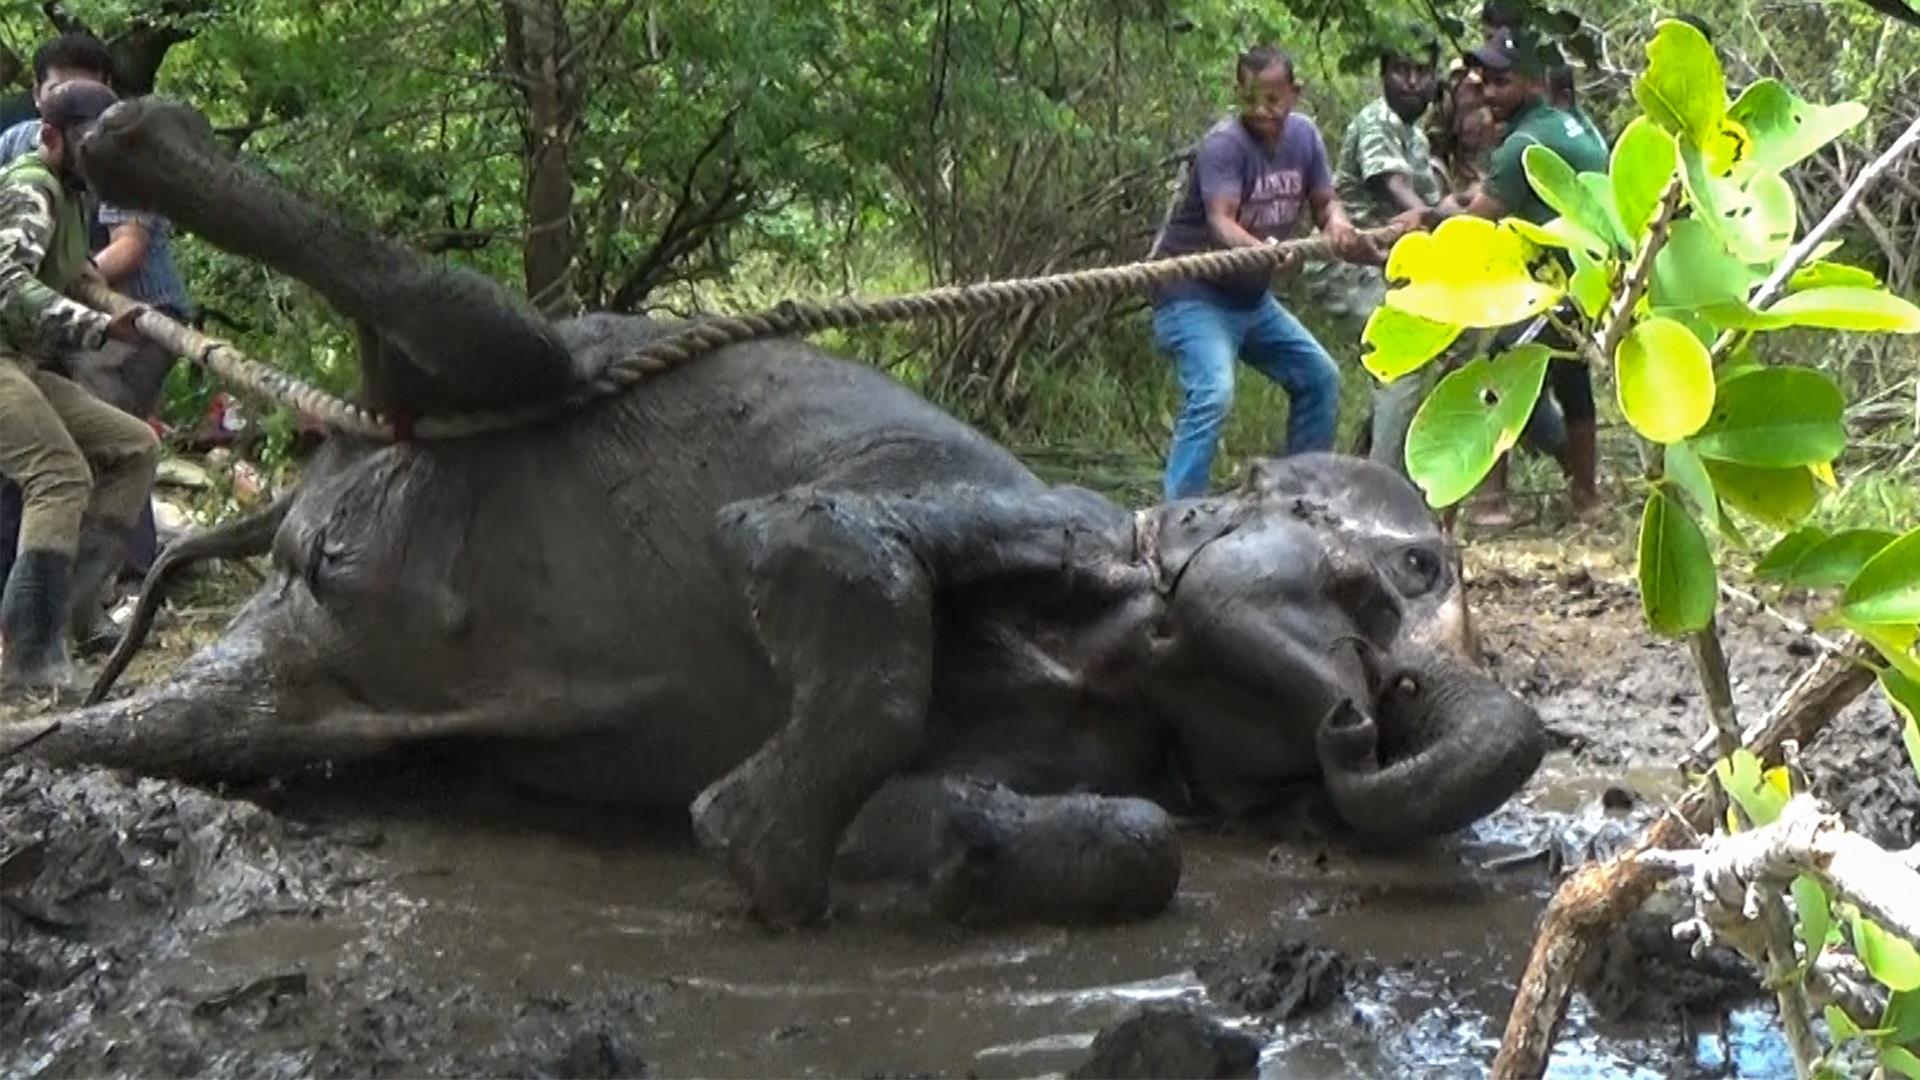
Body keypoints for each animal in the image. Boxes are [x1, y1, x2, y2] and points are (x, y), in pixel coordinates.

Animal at [0, 96, 1551, 930]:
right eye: (1384, 583)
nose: (1367, 713)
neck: (1128, 630)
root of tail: (304, 509)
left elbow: (1091, 827)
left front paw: (948, 859)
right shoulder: (1033, 514)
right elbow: (801, 541)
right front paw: (755, 850)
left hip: (300, 674)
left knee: (188, 732)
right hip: (505, 379)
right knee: (485, 331)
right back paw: (119, 133)